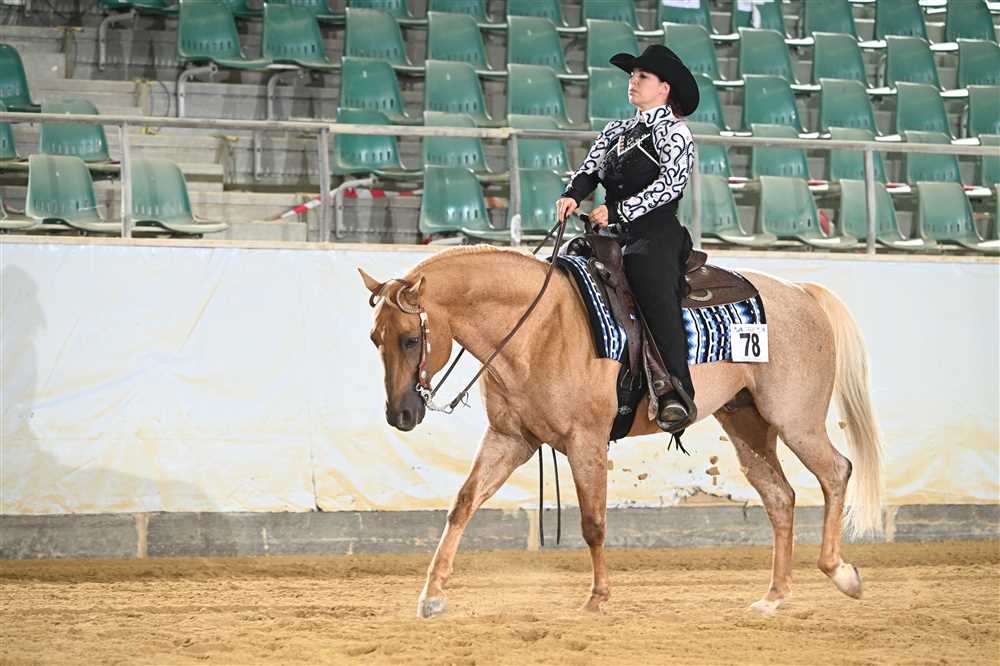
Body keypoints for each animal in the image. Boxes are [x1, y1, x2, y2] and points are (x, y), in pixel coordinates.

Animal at [359, 244, 883, 619]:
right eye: (374, 339)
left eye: (411, 339)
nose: (400, 414)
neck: (538, 327)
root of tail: (801, 292)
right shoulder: (510, 440)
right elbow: (463, 504)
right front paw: (431, 594)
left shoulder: (584, 441)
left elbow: (593, 523)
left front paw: (597, 598)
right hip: (746, 423)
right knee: (780, 497)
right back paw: (774, 596)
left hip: (796, 419)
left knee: (836, 472)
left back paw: (842, 574)